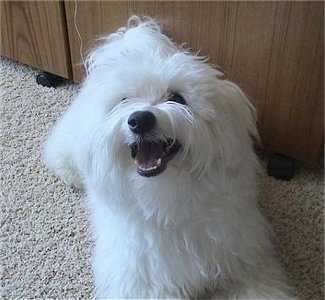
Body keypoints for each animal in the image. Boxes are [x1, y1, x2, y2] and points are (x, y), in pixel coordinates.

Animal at [44, 15, 294, 298]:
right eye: (125, 100)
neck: (164, 193)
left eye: (177, 98)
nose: (140, 120)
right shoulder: (143, 281)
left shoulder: (246, 264)